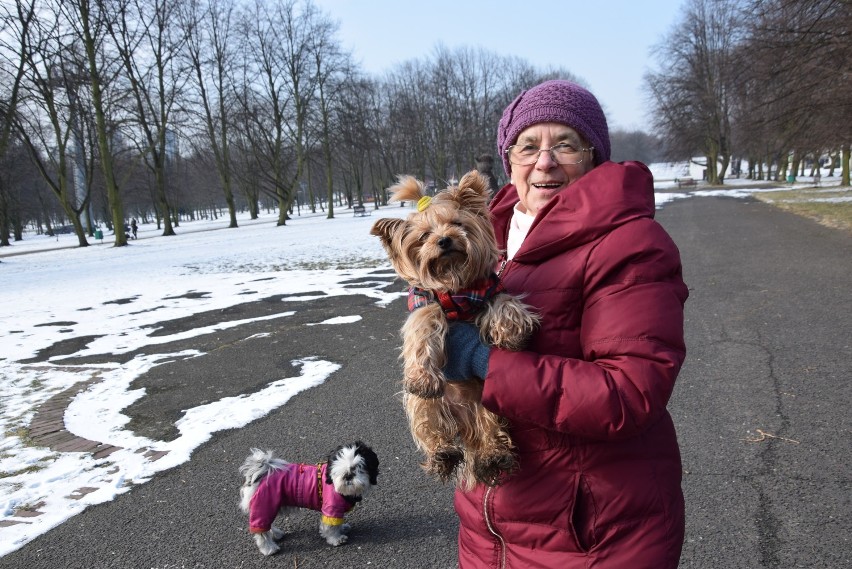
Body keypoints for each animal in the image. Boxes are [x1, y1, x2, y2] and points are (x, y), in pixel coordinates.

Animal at [236, 440, 376, 556]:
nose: (348, 476)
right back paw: (269, 548)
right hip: (263, 506)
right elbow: (330, 527)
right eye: (339, 469)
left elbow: (336, 523)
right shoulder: (331, 508)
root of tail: (260, 473)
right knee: (261, 532)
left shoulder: (336, 512)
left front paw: (342, 528)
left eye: (358, 467)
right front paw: (336, 539)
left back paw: (276, 534)